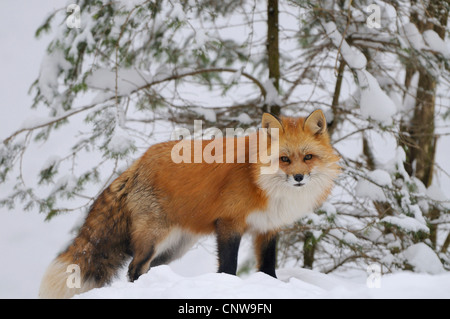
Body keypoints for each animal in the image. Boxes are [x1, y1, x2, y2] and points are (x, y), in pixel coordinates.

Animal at [39, 110, 342, 300]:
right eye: (285, 159)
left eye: (308, 157)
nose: (299, 178)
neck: (260, 181)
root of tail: (139, 162)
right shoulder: (229, 224)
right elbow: (228, 266)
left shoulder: (267, 228)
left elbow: (268, 268)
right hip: (154, 239)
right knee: (134, 269)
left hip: (174, 248)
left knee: (150, 269)